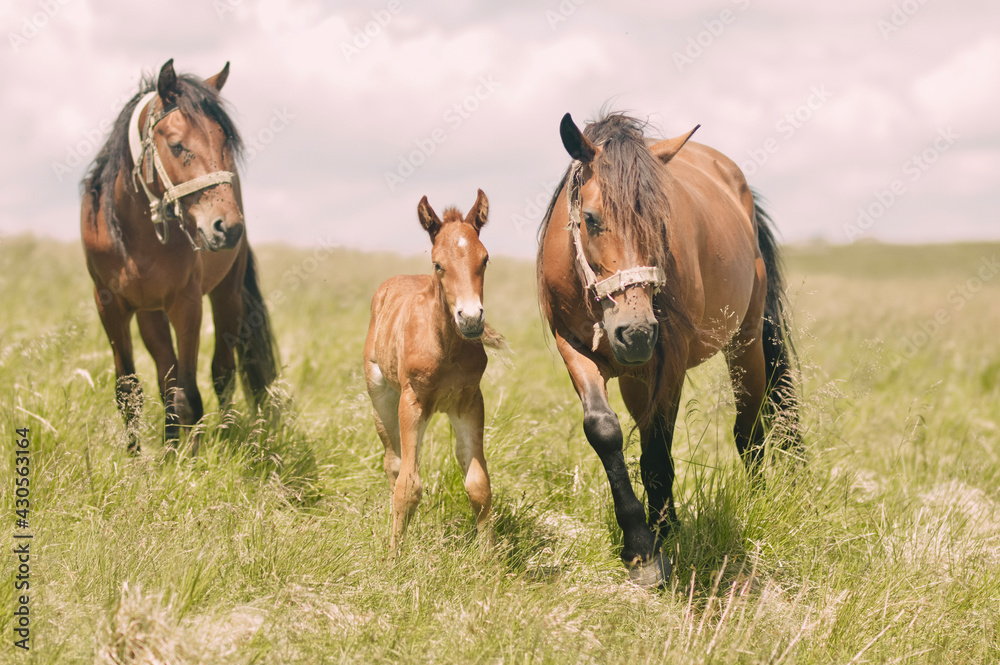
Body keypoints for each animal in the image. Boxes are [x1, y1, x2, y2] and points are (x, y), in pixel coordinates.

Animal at [79, 59, 278, 448]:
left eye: (225, 142)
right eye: (175, 145)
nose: (228, 228)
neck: (138, 236)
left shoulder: (187, 304)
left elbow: (190, 396)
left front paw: (191, 460)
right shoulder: (110, 305)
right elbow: (130, 392)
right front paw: (139, 459)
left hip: (226, 294)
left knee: (222, 373)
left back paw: (224, 437)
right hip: (150, 312)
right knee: (165, 379)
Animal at [364, 189, 500, 548]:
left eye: (484, 259)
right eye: (439, 264)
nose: (471, 318)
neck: (447, 348)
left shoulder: (469, 401)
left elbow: (478, 483)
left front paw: (490, 557)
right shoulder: (412, 401)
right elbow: (407, 485)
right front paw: (394, 554)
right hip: (381, 396)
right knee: (394, 462)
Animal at [536, 114, 800, 588]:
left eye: (661, 221)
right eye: (590, 218)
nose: (637, 332)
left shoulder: (669, 358)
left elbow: (658, 449)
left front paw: (653, 548)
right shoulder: (577, 348)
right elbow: (606, 432)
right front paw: (641, 540)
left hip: (745, 342)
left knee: (749, 430)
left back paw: (756, 501)